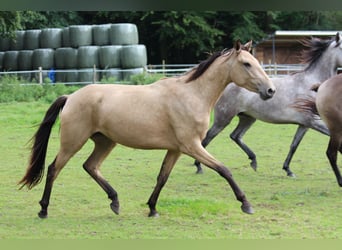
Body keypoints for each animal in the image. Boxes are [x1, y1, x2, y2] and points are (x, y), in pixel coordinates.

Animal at [195, 33, 342, 177]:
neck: (311, 85)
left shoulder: (305, 124)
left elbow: (294, 145)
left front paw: (288, 170)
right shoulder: (314, 122)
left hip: (247, 118)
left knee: (235, 136)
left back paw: (253, 160)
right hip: (223, 119)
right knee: (207, 138)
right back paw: (199, 167)